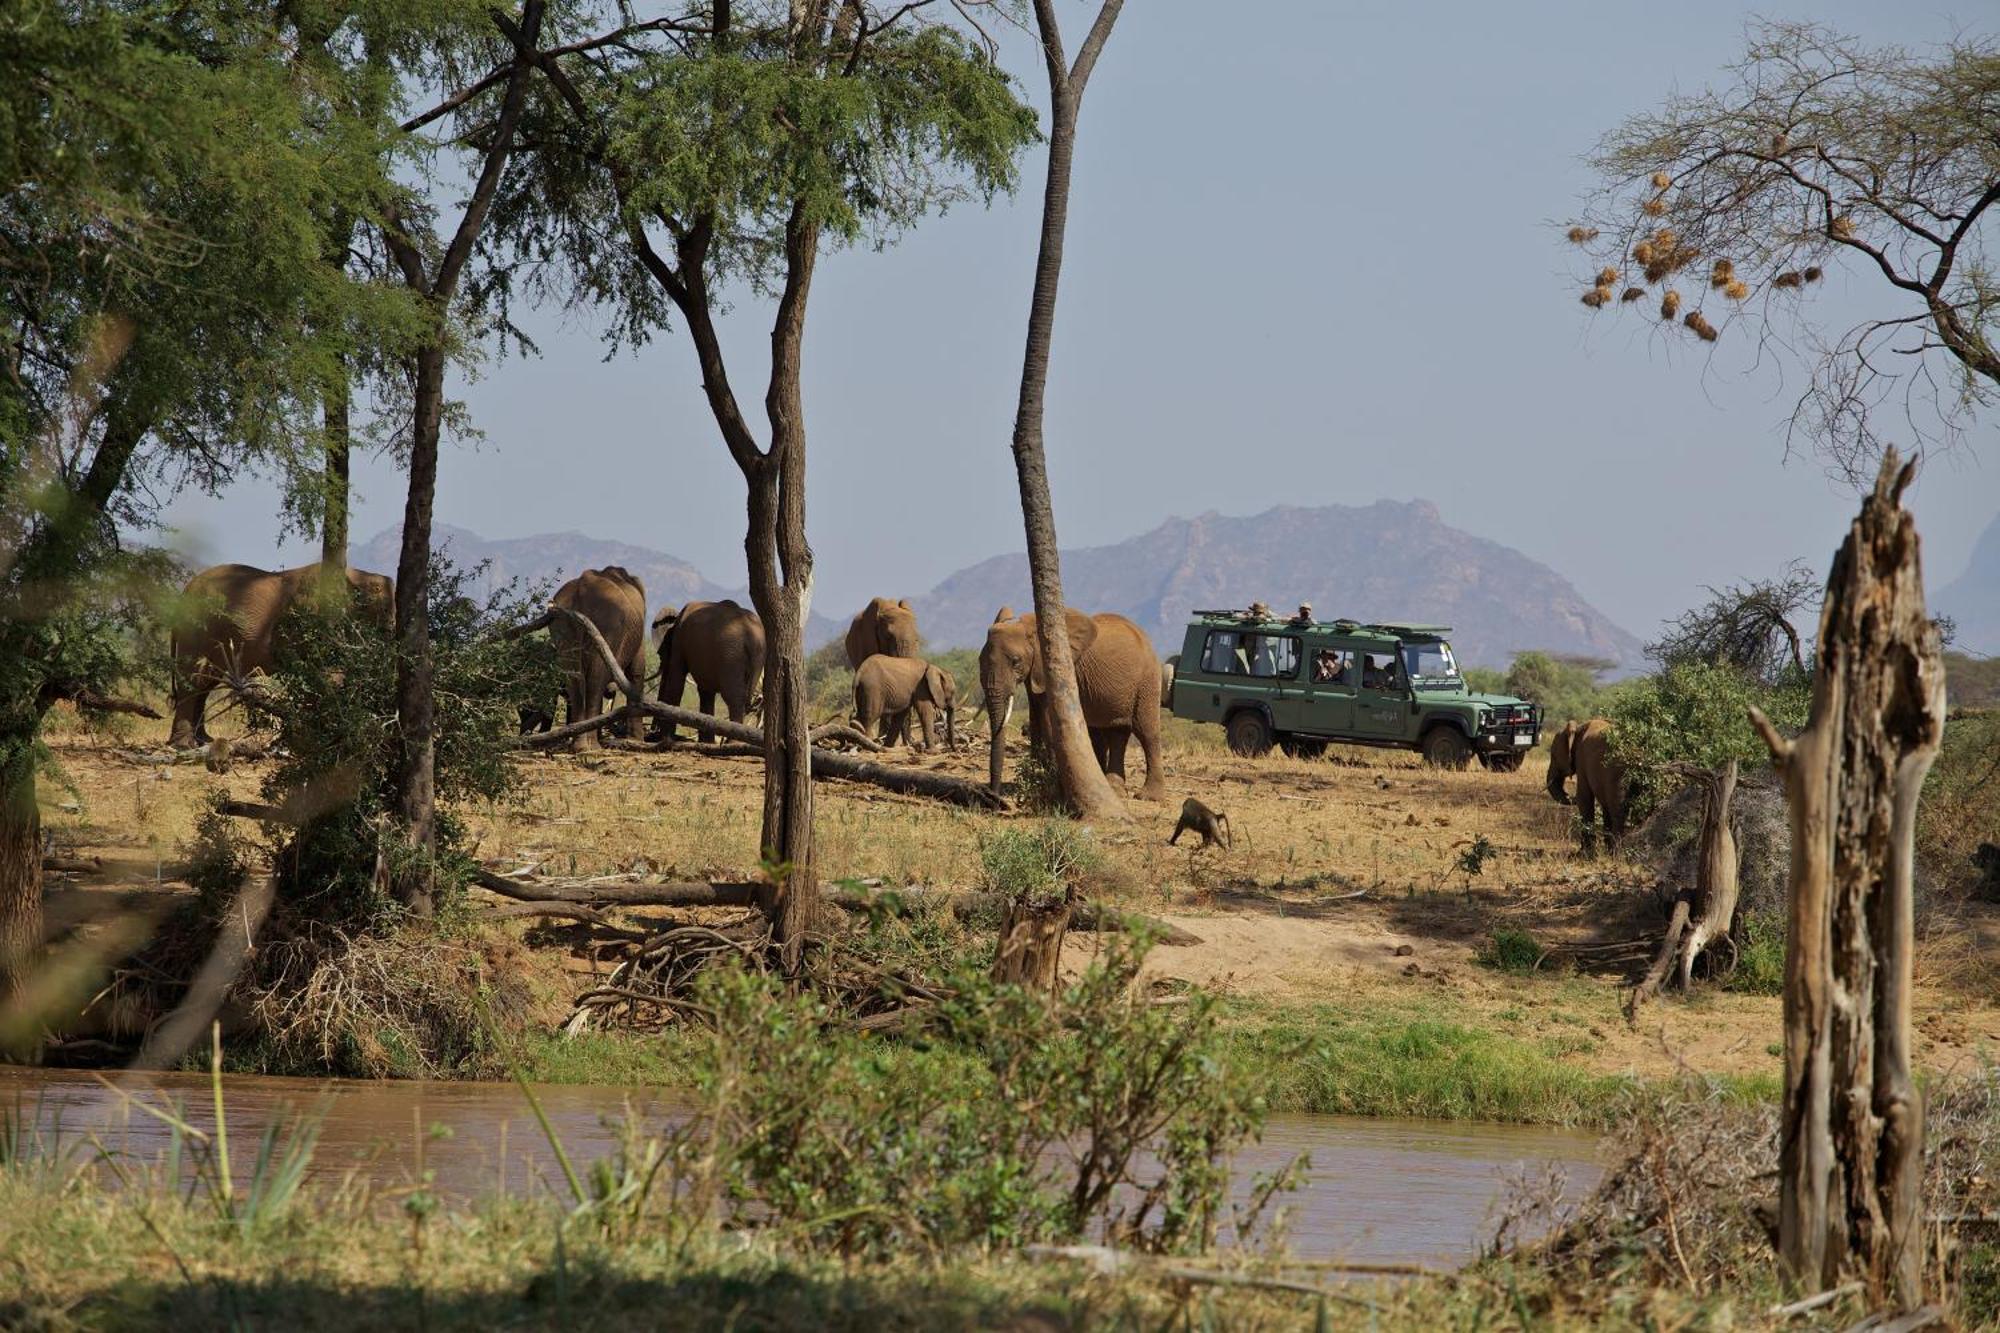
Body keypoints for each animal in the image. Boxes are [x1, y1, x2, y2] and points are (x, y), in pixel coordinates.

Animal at [172, 560, 394, 748]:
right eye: (376, 590)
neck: (356, 573)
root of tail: (183, 593)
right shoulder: (307, 617)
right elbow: (324, 674)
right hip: (196, 628)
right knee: (193, 681)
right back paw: (185, 746)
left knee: (204, 684)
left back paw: (204, 741)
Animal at [544, 564, 644, 748]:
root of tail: (583, 590)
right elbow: (636, 671)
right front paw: (636, 741)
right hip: (608, 626)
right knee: (595, 680)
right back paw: (591, 746)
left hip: (562, 625)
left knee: (576, 678)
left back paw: (581, 746)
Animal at [652, 600, 760, 740]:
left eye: (661, 653)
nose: (653, 730)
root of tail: (749, 634)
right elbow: (706, 691)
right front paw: (706, 741)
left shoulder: (679, 642)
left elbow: (676, 682)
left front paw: (666, 739)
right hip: (756, 657)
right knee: (746, 696)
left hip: (731, 655)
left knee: (733, 698)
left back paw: (734, 741)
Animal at [976, 604, 1168, 800]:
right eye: (979, 661)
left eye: (1016, 662)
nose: (993, 793)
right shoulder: (1036, 672)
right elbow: (1036, 716)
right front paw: (1038, 777)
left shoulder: (1062, 671)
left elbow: (1049, 721)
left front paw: (1053, 786)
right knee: (1115, 733)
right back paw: (1114, 789)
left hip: (1148, 681)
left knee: (1147, 732)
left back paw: (1149, 796)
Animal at [1544, 716, 1624, 852]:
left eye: (1553, 756)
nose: (1571, 795)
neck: (1578, 728)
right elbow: (1603, 805)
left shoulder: (1581, 758)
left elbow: (1584, 798)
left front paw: (1584, 853)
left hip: (1616, 772)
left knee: (1618, 809)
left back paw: (1618, 853)